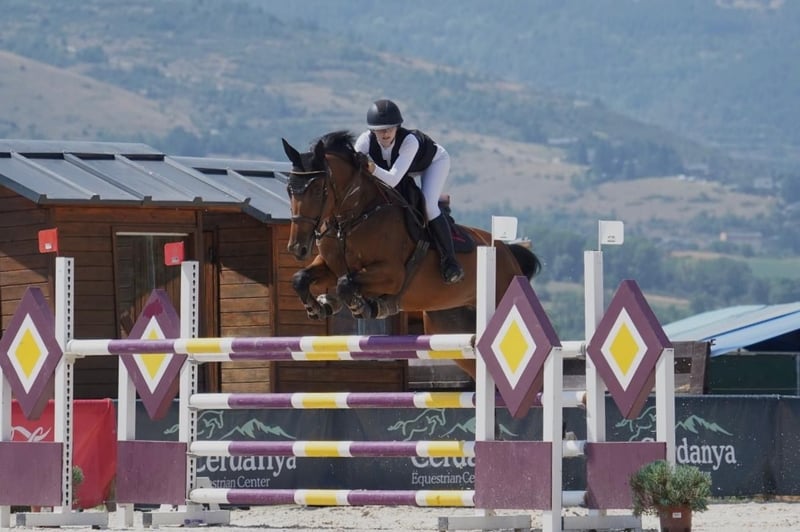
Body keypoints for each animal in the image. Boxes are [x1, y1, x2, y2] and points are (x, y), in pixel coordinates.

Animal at [281, 130, 541, 380]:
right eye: (289, 189)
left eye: (318, 190)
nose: (297, 248)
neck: (354, 218)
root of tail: (506, 251)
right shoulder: (330, 266)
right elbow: (301, 278)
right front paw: (319, 307)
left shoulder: (391, 275)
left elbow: (346, 284)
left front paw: (361, 306)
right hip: (449, 326)